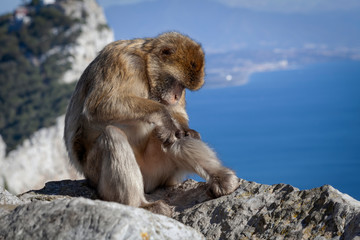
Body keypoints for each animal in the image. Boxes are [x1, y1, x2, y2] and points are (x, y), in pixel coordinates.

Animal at [64, 31, 239, 216]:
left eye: (183, 87)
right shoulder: (121, 61)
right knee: (113, 135)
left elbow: (177, 114)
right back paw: (140, 205)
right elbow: (98, 105)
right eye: (176, 83)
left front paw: (186, 129)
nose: (177, 96)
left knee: (173, 139)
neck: (144, 65)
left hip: (160, 171)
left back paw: (221, 179)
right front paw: (163, 115)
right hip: (97, 174)